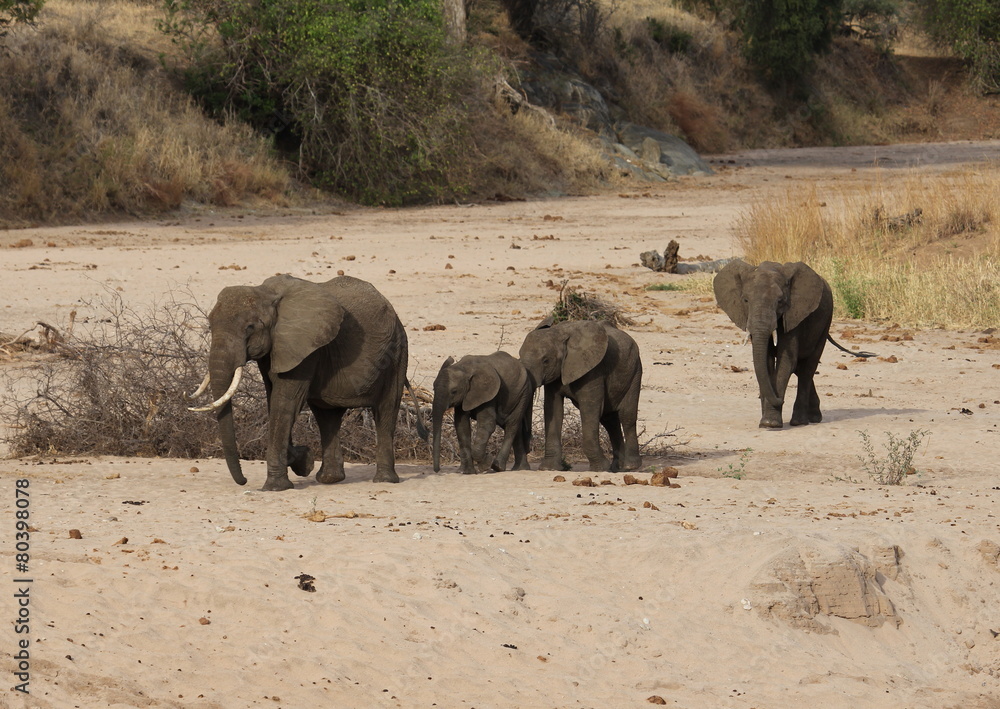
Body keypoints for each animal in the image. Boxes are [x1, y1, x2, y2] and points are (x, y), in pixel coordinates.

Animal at [188, 274, 424, 490]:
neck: (266, 293)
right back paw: (329, 479)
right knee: (327, 416)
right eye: (210, 325)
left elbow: (285, 402)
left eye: (250, 327)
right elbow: (274, 399)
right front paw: (303, 461)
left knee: (385, 409)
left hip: (396, 352)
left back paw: (384, 480)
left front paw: (276, 487)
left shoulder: (304, 347)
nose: (244, 481)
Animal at [518, 319, 642, 472]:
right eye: (519, 355)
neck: (559, 333)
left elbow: (590, 409)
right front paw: (549, 469)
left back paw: (630, 466)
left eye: (545, 360)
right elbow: (554, 409)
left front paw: (600, 468)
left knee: (626, 416)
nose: (528, 449)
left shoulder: (593, 370)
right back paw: (617, 468)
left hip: (635, 371)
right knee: (609, 420)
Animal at [713, 259, 839, 429]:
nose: (781, 400)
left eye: (780, 301)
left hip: (826, 322)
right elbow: (766, 363)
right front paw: (766, 422)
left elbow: (785, 362)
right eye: (745, 300)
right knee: (801, 368)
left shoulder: (793, 314)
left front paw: (770, 423)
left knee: (807, 369)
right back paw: (813, 417)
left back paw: (799, 421)